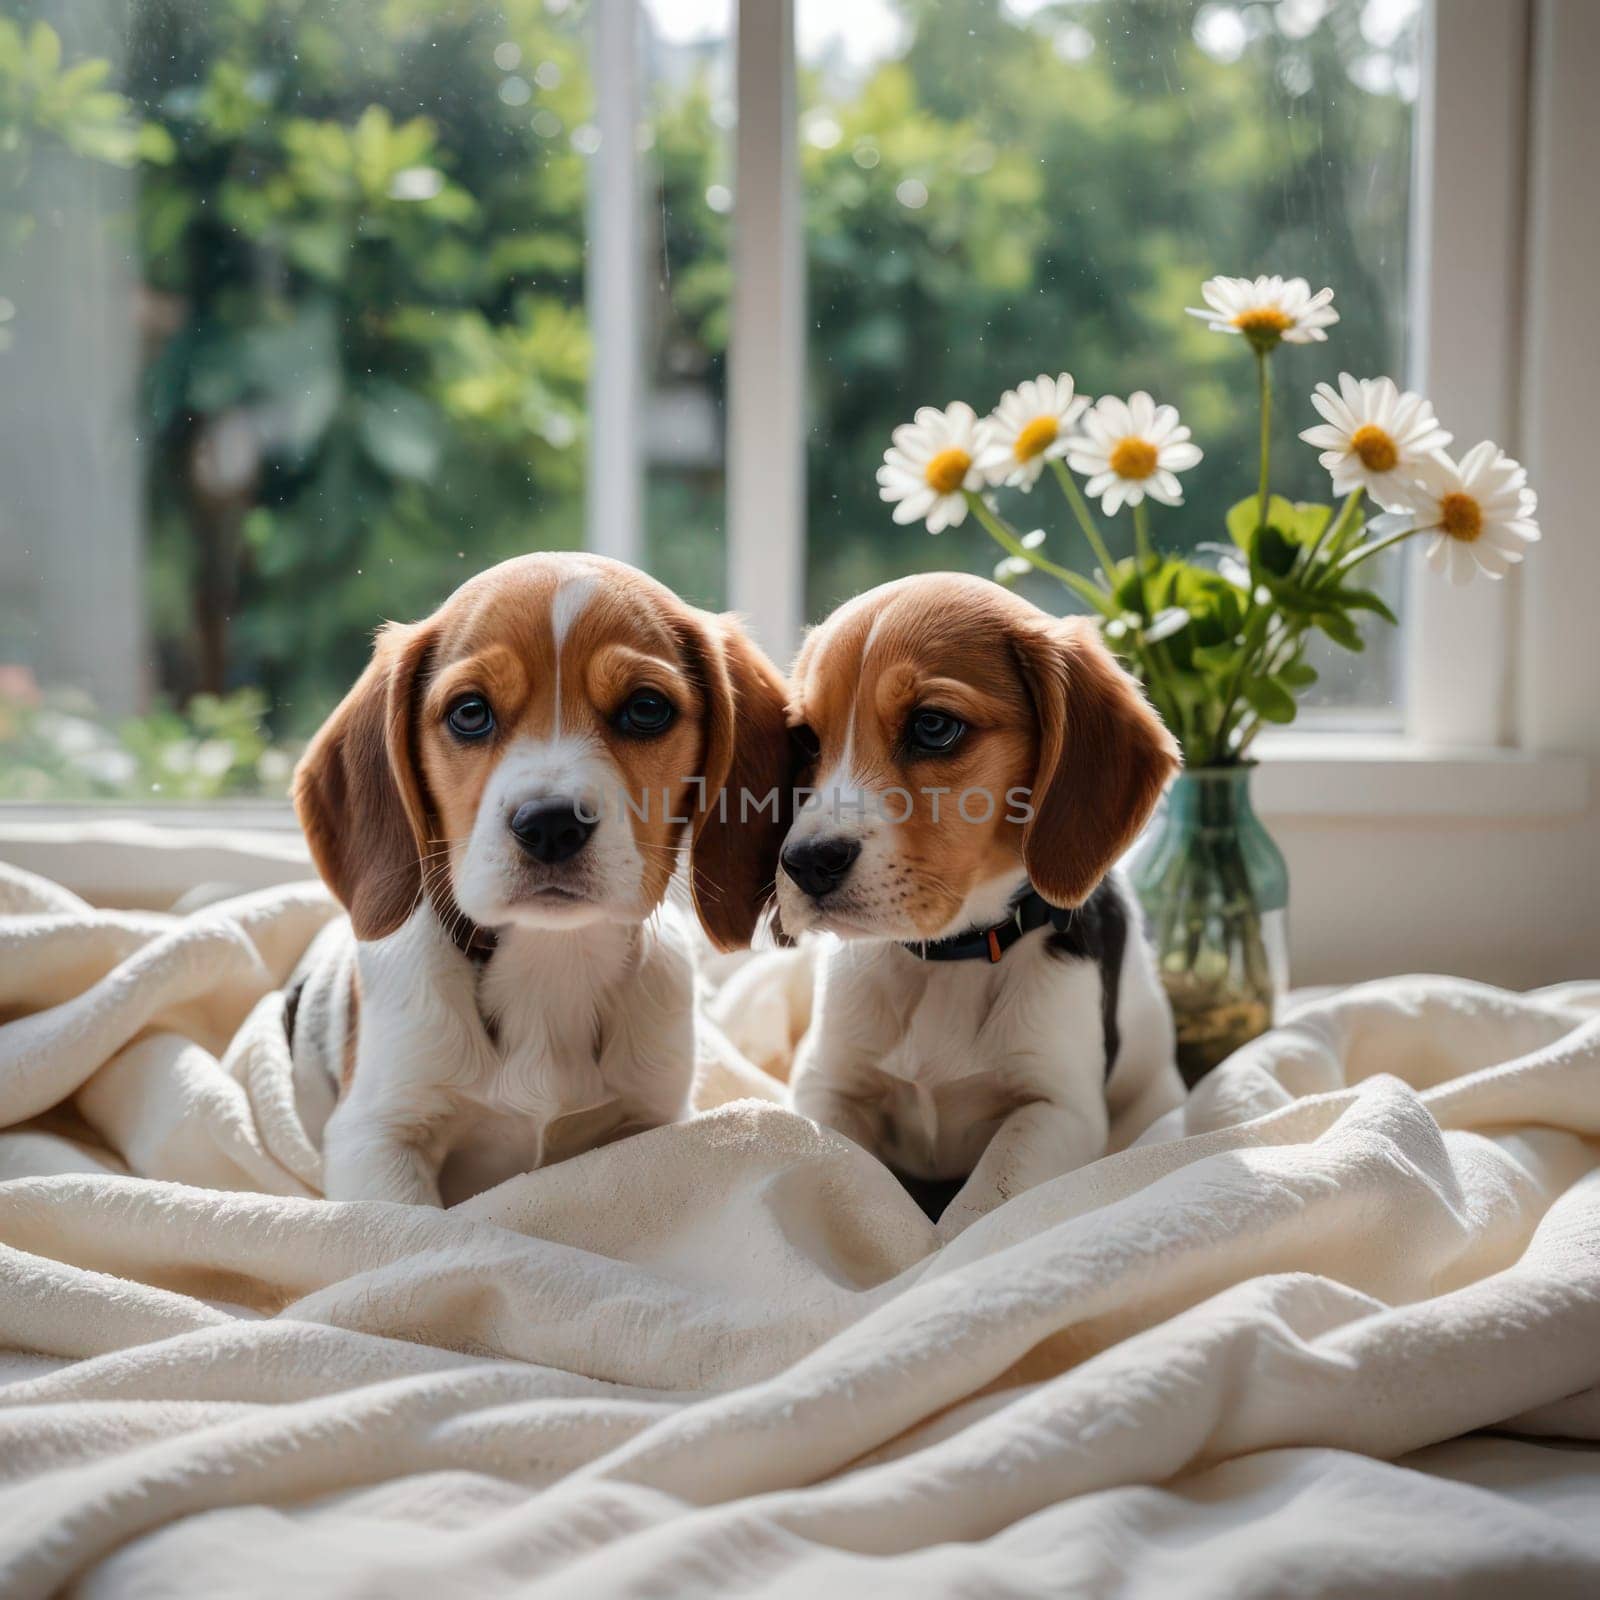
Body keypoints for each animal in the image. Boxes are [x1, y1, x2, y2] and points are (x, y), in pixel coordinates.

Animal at [291, 550, 790, 1203]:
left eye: (646, 708)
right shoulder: (377, 1135)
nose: (551, 824)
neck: (552, 957)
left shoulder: (654, 1121)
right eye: (470, 713)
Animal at [780, 576, 1184, 1235]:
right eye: (807, 739)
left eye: (933, 725)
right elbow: (847, 1165)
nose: (807, 862)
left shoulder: (1057, 1108)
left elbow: (980, 1209)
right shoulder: (826, 1085)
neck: (948, 960)